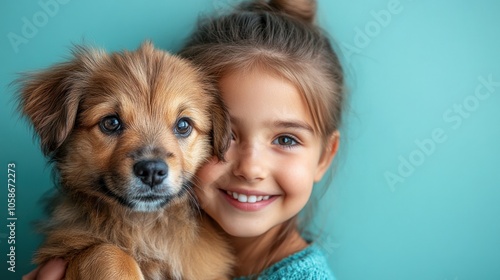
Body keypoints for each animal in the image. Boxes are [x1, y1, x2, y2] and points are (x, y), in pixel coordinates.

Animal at [15, 42, 233, 280]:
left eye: (183, 125)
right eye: (111, 122)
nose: (151, 171)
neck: (145, 226)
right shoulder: (62, 249)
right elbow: (106, 251)